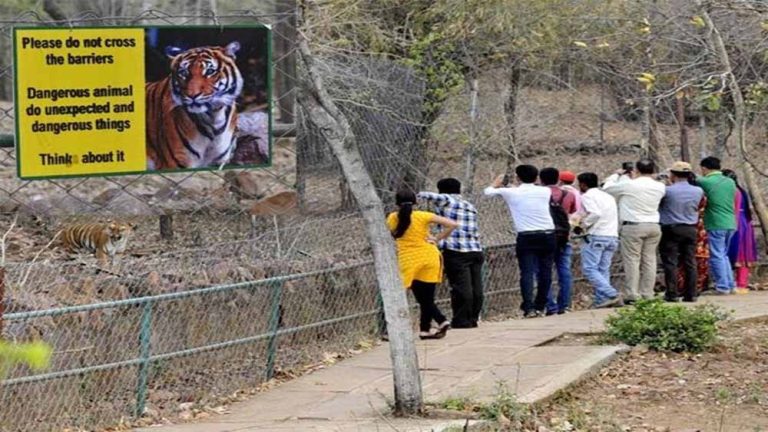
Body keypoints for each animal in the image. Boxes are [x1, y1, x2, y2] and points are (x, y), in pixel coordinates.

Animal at [146, 41, 243, 170]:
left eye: (210, 71)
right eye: (184, 72)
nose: (192, 95)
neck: (214, 117)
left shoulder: (219, 162)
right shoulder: (175, 163)